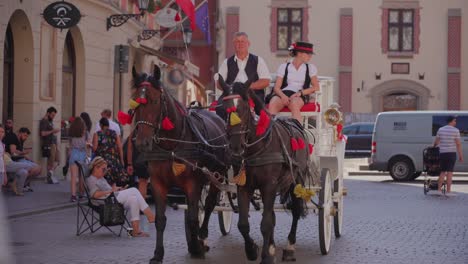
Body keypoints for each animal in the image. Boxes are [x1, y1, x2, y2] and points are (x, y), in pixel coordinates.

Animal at [132, 67, 230, 262]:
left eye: (155, 101)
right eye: (135, 102)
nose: (141, 143)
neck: (172, 145)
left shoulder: (192, 184)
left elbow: (193, 218)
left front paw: (197, 247)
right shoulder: (158, 184)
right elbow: (160, 220)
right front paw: (158, 254)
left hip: (218, 175)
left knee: (209, 205)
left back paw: (202, 234)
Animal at [218, 75, 310, 262]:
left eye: (245, 108)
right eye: (224, 110)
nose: (236, 148)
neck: (256, 146)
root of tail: (295, 122)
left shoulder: (269, 185)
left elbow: (266, 223)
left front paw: (266, 256)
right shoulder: (244, 186)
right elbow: (243, 224)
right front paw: (252, 249)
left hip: (296, 180)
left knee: (296, 210)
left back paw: (290, 247)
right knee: (272, 215)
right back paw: (273, 246)